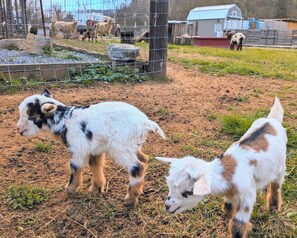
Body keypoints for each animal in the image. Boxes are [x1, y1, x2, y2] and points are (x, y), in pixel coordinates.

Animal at [17, 88, 165, 204]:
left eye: (30, 115)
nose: (18, 129)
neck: (65, 120)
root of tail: (145, 122)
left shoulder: (79, 149)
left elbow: (75, 167)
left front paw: (70, 189)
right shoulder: (94, 149)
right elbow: (95, 165)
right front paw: (96, 189)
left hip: (120, 149)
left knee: (137, 167)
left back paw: (130, 199)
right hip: (132, 146)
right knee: (144, 159)